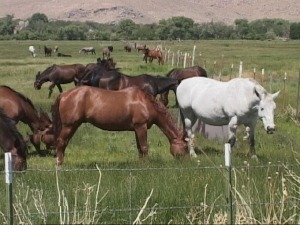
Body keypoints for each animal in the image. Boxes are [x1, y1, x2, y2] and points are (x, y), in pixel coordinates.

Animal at [51, 86, 188, 165]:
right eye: (186, 147)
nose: (186, 162)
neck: (145, 102)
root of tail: (64, 94)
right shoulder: (141, 126)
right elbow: (144, 147)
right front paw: (146, 165)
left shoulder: (137, 128)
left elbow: (139, 148)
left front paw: (140, 164)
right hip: (69, 126)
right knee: (60, 142)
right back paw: (59, 164)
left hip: (73, 126)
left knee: (64, 143)